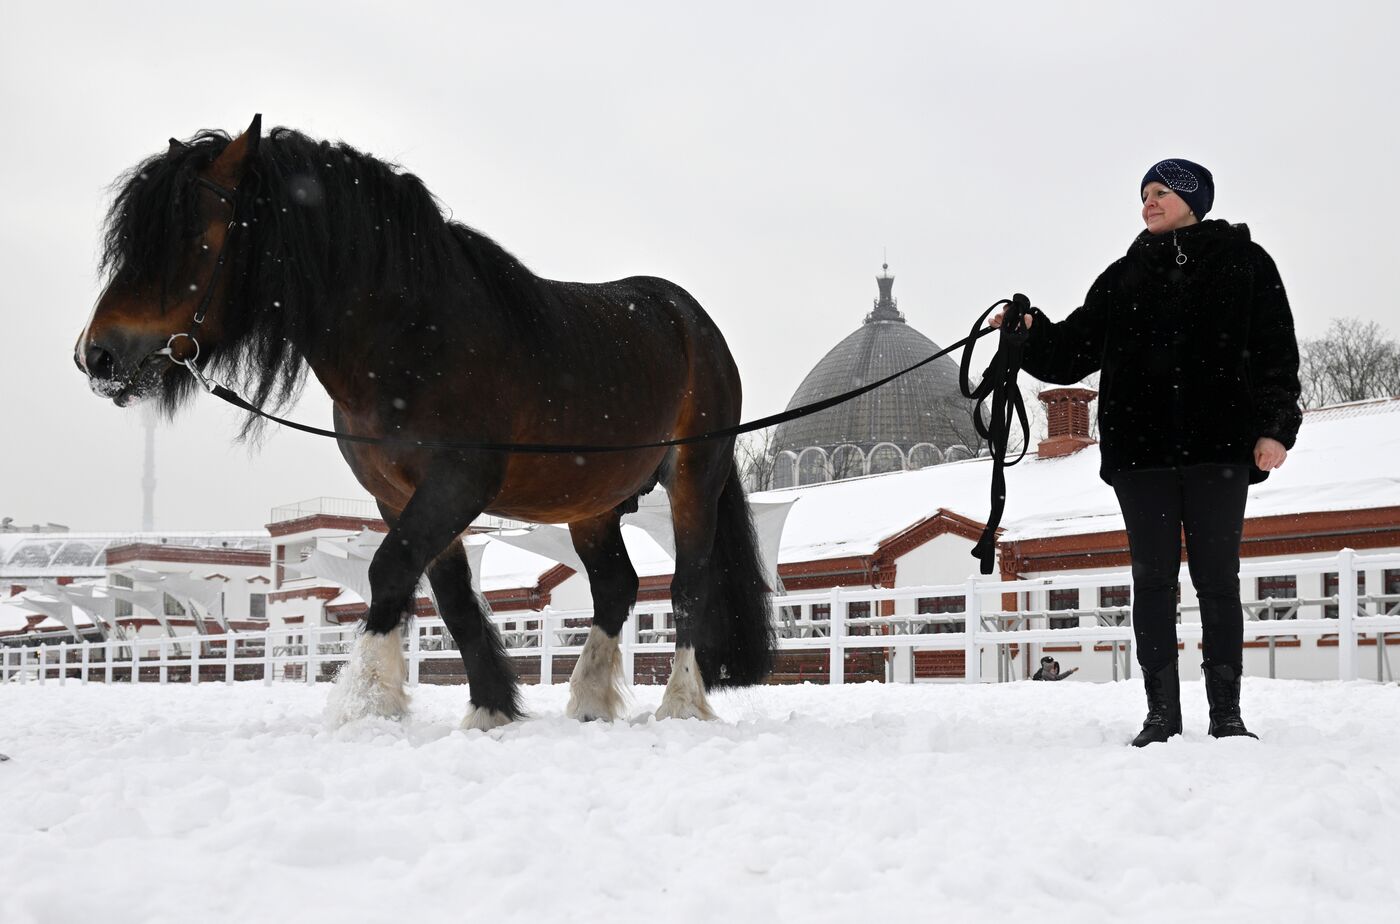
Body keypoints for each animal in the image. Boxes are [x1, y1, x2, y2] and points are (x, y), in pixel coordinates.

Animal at [73, 113, 778, 728]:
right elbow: (451, 597)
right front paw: (491, 708)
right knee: (615, 588)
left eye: (190, 236)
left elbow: (389, 573)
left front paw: (364, 702)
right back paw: (587, 701)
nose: (95, 355)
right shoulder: (398, 494)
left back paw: (679, 705)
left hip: (693, 479)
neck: (409, 339)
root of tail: (692, 321)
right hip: (593, 503)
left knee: (687, 586)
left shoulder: (457, 484)